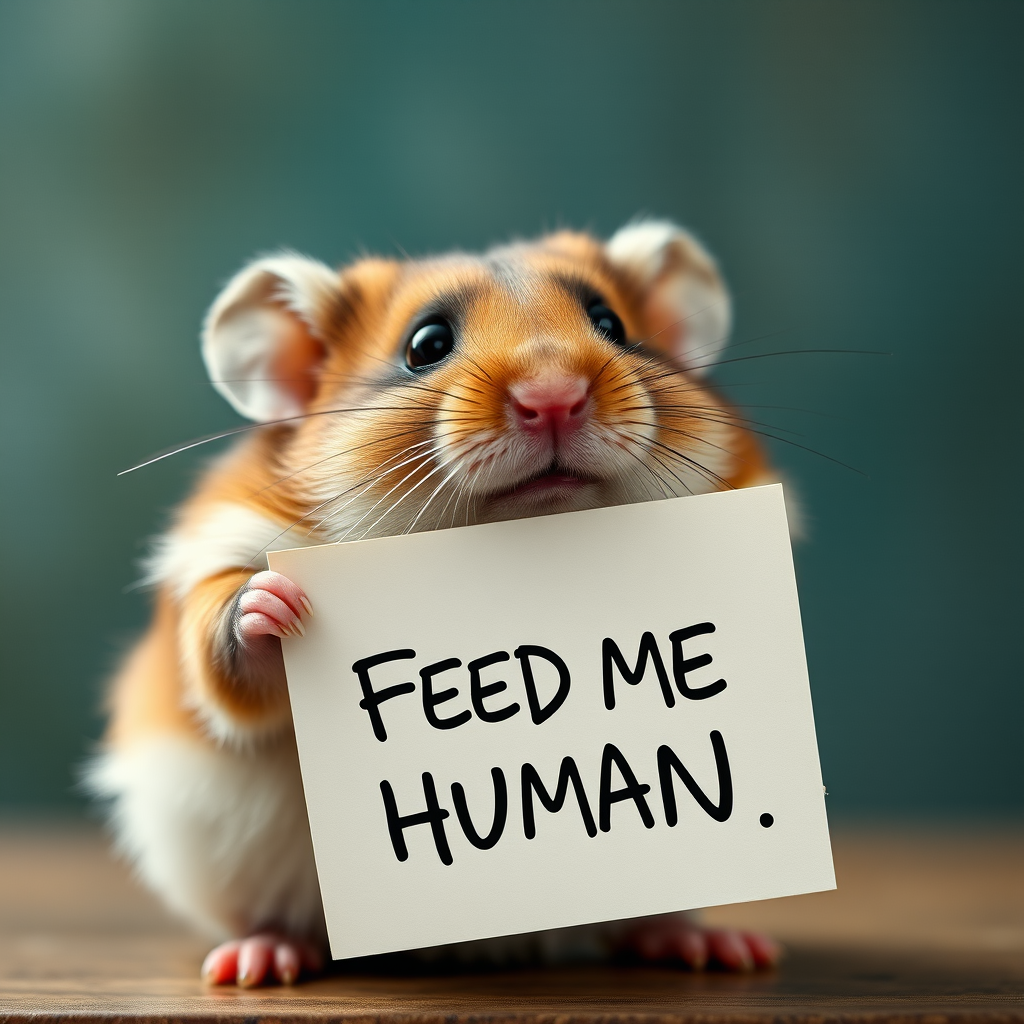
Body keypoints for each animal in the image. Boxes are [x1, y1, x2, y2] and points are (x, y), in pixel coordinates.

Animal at [90, 220, 782, 986]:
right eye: (425, 345)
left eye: (610, 323)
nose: (554, 396)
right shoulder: (217, 557)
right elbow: (229, 652)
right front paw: (276, 603)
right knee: (269, 921)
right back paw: (257, 963)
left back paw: (723, 948)